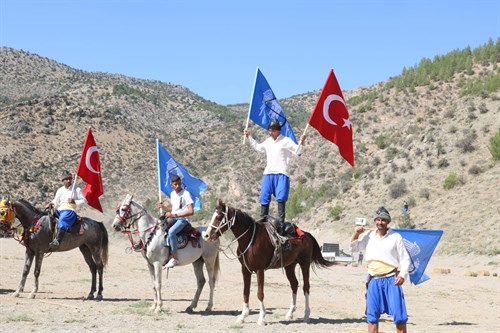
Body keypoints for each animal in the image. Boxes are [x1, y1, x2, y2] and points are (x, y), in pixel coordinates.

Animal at [201, 198, 334, 322]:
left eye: (219, 217)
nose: (206, 235)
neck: (250, 238)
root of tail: (307, 235)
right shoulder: (245, 270)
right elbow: (245, 292)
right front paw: (243, 316)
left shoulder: (260, 270)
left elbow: (260, 294)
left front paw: (261, 318)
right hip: (289, 266)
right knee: (294, 284)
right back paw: (290, 313)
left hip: (304, 264)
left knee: (306, 287)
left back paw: (306, 315)